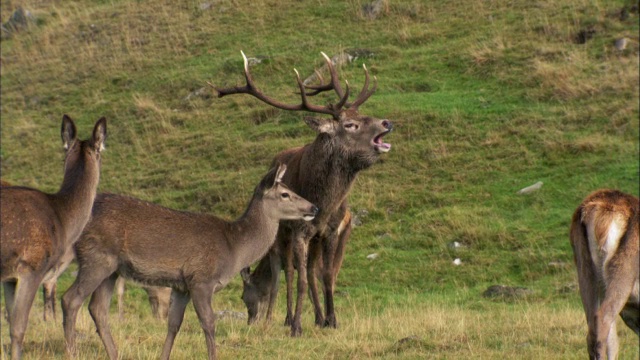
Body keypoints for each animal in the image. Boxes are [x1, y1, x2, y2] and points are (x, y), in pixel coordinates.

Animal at [212, 52, 392, 336]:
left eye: (362, 114)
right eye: (350, 124)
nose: (387, 122)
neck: (324, 202)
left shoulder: (329, 232)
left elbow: (326, 276)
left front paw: (331, 320)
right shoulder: (298, 231)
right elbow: (299, 281)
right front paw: (296, 325)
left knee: (308, 271)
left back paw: (317, 317)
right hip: (283, 235)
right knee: (289, 273)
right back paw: (286, 318)